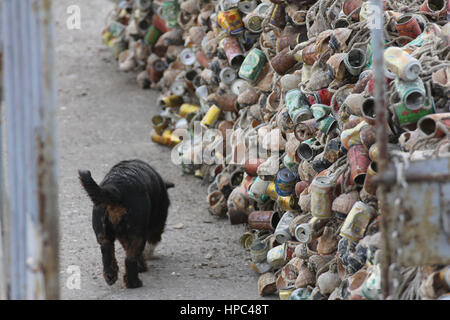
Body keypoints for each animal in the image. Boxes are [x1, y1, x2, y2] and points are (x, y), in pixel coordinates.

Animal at [78, 159, 173, 288]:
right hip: (137, 234)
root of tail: (116, 187)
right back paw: (134, 283)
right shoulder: (156, 225)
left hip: (103, 232)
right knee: (130, 259)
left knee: (107, 251)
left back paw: (110, 275)